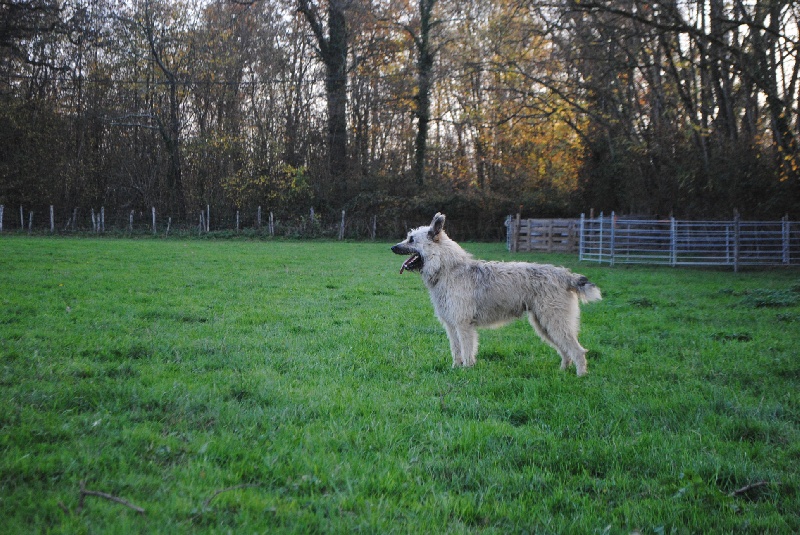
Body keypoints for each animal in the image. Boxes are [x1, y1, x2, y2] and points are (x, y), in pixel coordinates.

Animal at [390, 211, 604, 374]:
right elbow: (456, 350)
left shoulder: (463, 324)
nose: (392, 247)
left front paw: (466, 371)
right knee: (565, 351)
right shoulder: (451, 325)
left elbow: (467, 350)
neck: (447, 268)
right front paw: (455, 369)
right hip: (544, 323)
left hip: (555, 321)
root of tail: (565, 275)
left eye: (411, 239)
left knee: (577, 351)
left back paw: (580, 376)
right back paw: (562, 372)